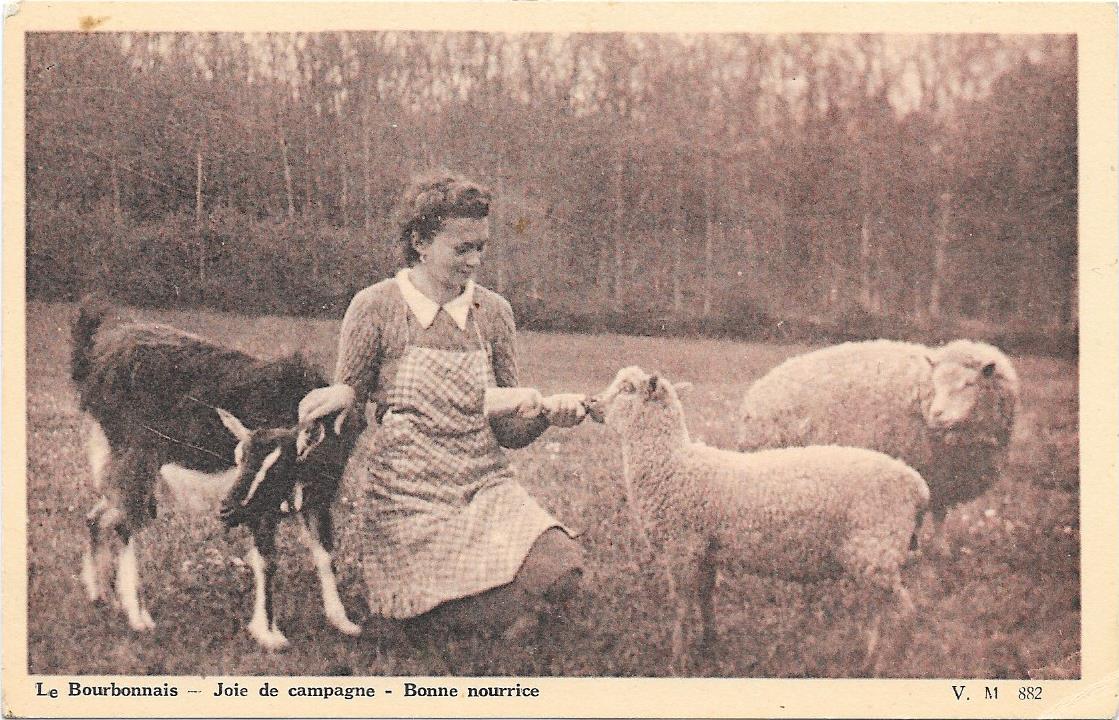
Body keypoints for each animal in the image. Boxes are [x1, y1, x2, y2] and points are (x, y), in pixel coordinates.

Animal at [71, 298, 361, 650]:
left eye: (280, 466)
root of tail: (93, 364)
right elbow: (267, 561)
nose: (227, 509)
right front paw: (269, 634)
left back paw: (99, 595)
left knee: (97, 516)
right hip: (135, 458)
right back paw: (138, 617)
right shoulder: (261, 509)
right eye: (240, 457)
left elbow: (325, 553)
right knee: (125, 523)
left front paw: (342, 621)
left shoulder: (318, 496)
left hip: (117, 462)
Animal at [586, 366, 929, 676]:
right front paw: (709, 645)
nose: (591, 404)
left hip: (874, 548)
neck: (672, 463)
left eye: (628, 389)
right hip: (874, 556)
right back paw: (869, 660)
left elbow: (682, 606)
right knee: (882, 611)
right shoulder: (705, 550)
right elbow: (705, 598)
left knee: (903, 613)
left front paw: (678, 660)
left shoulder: (682, 546)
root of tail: (916, 486)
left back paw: (887, 664)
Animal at [737, 339, 1020, 555]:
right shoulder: (919, 471)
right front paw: (913, 551)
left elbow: (940, 515)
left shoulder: (943, 478)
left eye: (969, 384)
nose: (936, 415)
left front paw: (941, 551)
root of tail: (757, 392)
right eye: (936, 383)